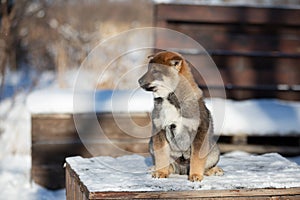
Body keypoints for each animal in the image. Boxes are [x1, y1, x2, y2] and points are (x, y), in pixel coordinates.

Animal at [138, 51, 223, 181]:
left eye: (155, 70)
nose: (139, 81)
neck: (170, 98)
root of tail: (182, 170)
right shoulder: (159, 131)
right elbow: (161, 156)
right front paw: (160, 172)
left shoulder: (199, 130)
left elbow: (197, 158)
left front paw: (195, 175)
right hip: (151, 144)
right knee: (168, 165)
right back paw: (156, 168)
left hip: (214, 150)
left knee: (207, 166)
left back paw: (215, 170)